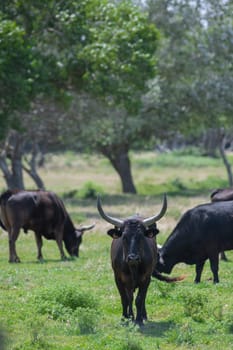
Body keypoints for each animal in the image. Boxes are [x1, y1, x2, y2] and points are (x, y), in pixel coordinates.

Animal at [96, 196, 182, 326]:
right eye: (124, 236)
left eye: (141, 236)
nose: (133, 258)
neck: (133, 267)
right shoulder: (118, 278)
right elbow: (125, 299)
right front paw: (125, 318)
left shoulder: (146, 278)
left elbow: (139, 299)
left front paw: (138, 320)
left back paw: (143, 316)